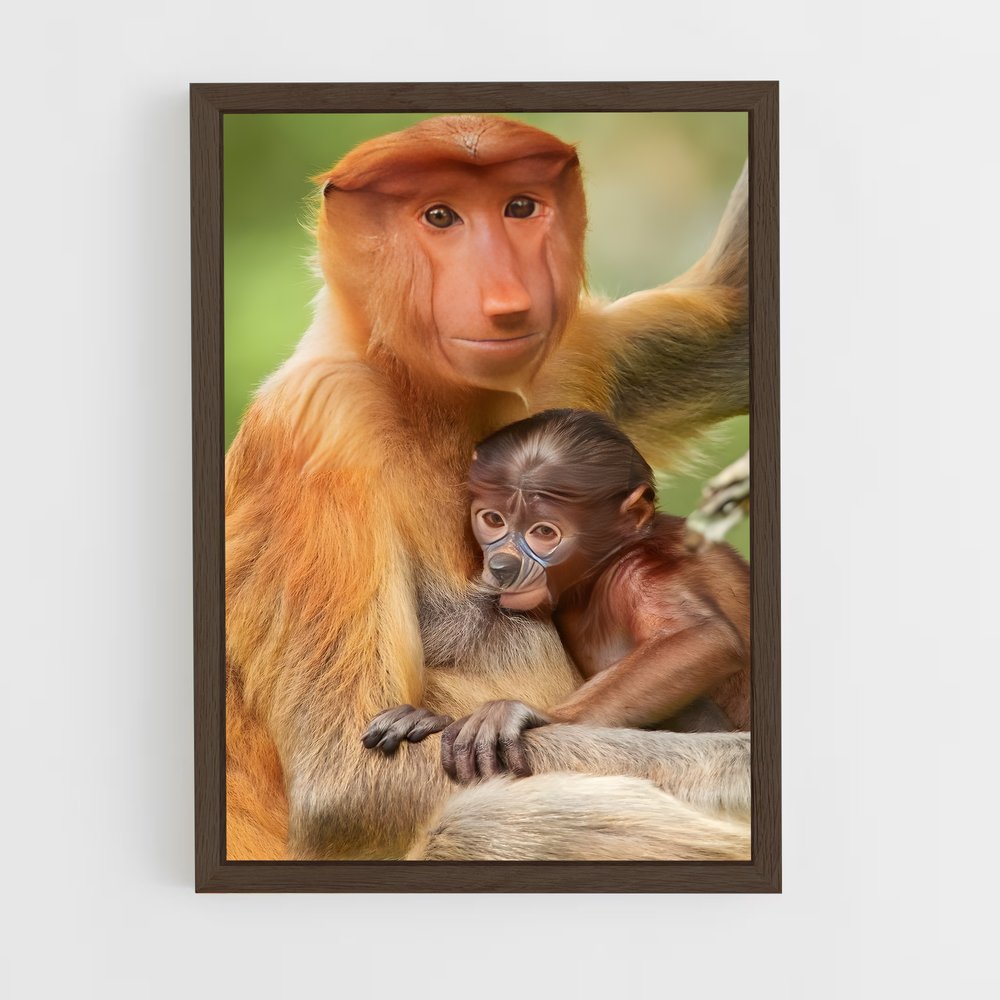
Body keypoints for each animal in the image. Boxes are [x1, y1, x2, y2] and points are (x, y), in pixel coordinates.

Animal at [363, 408, 749, 784]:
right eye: (494, 519)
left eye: (544, 532)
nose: (502, 565)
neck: (601, 569)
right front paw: (428, 718)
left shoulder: (635, 573)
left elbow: (704, 638)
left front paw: (533, 714)